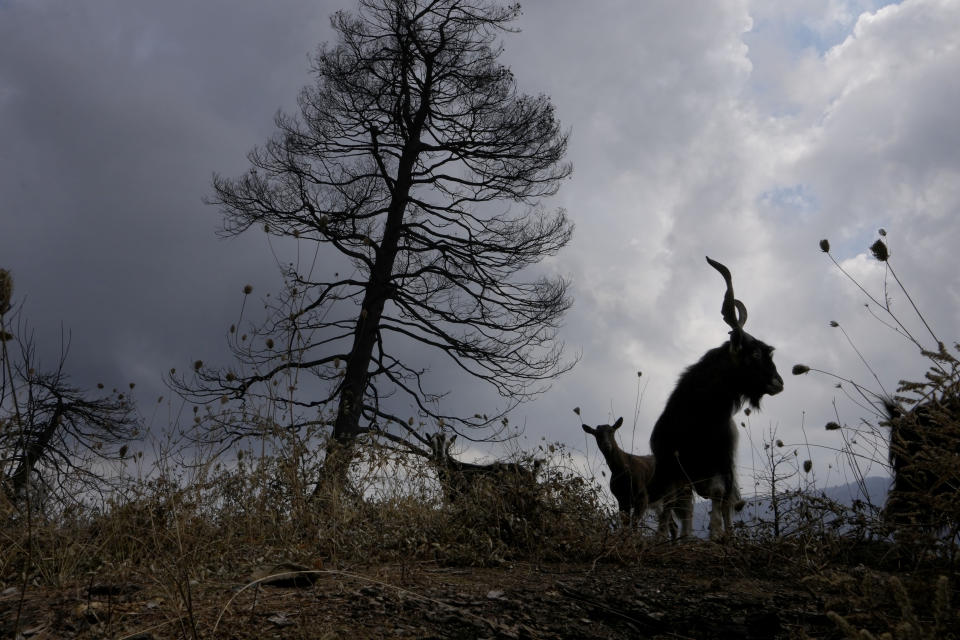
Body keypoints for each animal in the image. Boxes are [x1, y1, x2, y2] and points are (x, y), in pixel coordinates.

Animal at [648, 258, 784, 536]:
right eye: (754, 354)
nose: (779, 382)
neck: (699, 419)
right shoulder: (670, 468)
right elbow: (673, 510)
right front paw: (671, 539)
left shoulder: (720, 466)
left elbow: (719, 500)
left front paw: (717, 536)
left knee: (724, 503)